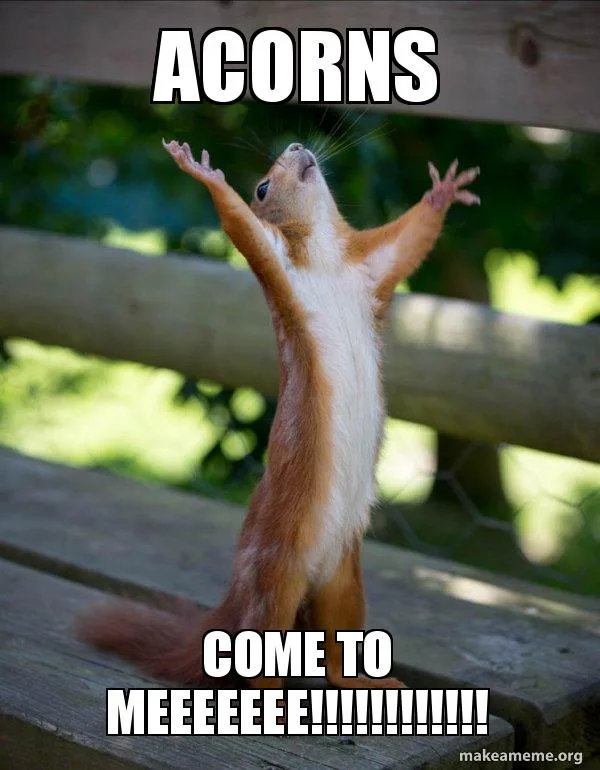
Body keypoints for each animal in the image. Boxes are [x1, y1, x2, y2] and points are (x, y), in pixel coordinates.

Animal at [77, 138, 479, 691]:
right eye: (263, 187)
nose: (296, 145)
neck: (327, 260)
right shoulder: (277, 264)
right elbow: (241, 226)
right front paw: (204, 173)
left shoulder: (372, 267)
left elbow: (408, 241)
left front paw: (442, 193)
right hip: (275, 577)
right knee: (263, 650)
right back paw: (276, 699)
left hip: (344, 582)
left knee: (335, 651)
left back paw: (369, 683)